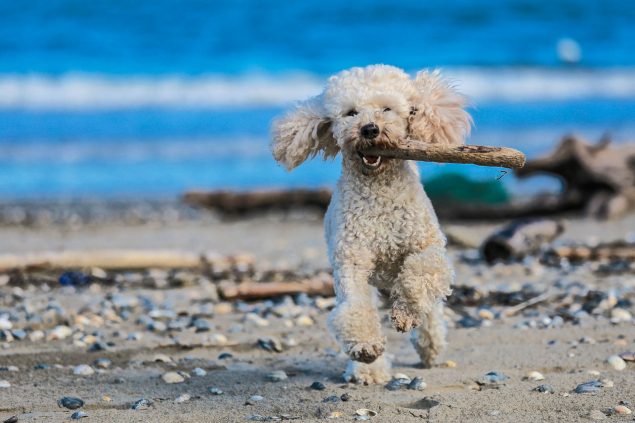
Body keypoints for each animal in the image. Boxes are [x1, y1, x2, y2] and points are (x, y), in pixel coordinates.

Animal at [270, 64, 470, 386]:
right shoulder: (351, 262)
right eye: (351, 112)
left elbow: (420, 275)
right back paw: (368, 371)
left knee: (431, 312)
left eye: (387, 108)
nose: (369, 129)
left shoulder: (427, 247)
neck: (379, 190)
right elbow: (354, 307)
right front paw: (365, 348)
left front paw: (406, 313)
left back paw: (430, 346)